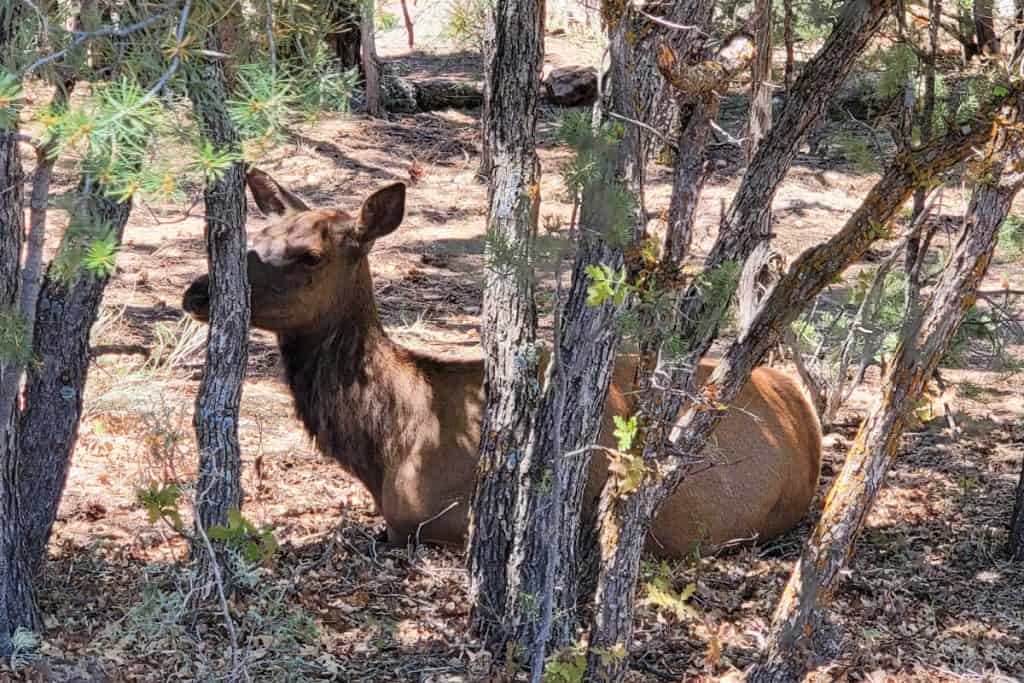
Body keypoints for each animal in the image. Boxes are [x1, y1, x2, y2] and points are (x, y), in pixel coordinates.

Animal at [182, 170, 823, 557]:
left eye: (310, 254)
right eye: (262, 230)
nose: (199, 291)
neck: (385, 440)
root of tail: (803, 412)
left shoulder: (432, 519)